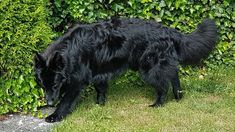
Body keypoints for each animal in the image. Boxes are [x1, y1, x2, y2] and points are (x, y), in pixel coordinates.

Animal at [34, 17, 218, 122]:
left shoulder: (76, 82)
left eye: (55, 85)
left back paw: (158, 104)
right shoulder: (99, 73)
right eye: (43, 85)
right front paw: (99, 105)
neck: (70, 51)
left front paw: (55, 116)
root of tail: (169, 30)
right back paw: (178, 96)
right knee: (173, 75)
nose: (49, 103)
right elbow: (100, 90)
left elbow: (65, 101)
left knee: (163, 85)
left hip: (150, 68)